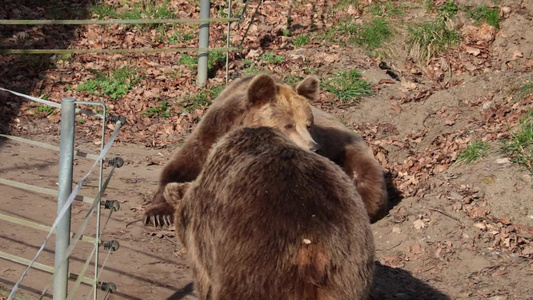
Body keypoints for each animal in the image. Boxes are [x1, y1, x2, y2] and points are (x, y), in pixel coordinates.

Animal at [145, 73, 386, 225]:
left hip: (351, 152)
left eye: (308, 124)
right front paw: (158, 213)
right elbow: (178, 168)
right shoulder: (206, 136)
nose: (314, 148)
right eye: (288, 125)